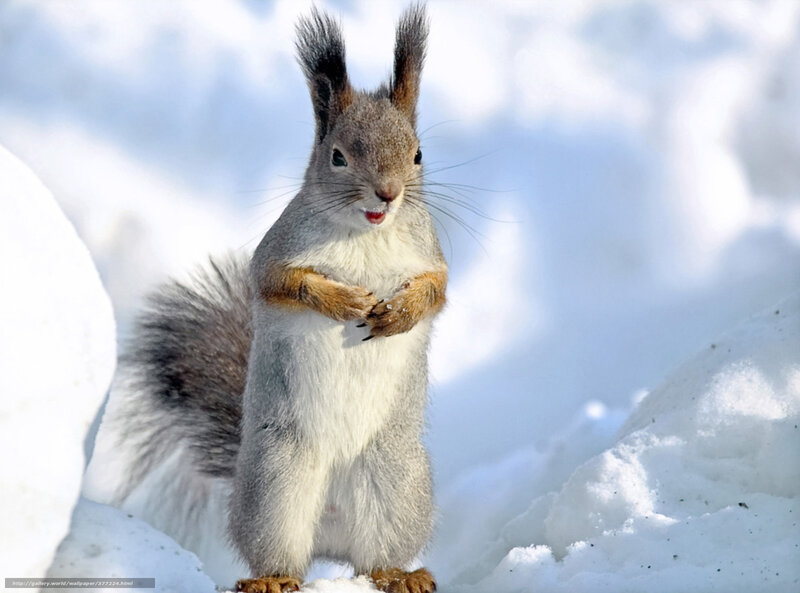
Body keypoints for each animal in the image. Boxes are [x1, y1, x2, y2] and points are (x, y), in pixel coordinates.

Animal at [84, 5, 446, 593]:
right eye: (338, 157)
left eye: (417, 154)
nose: (387, 195)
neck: (366, 232)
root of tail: (330, 535)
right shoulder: (276, 254)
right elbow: (283, 284)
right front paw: (342, 301)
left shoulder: (430, 254)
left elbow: (436, 292)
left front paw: (399, 313)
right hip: (278, 483)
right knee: (280, 552)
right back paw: (271, 579)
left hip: (394, 482)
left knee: (376, 555)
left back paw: (398, 573)